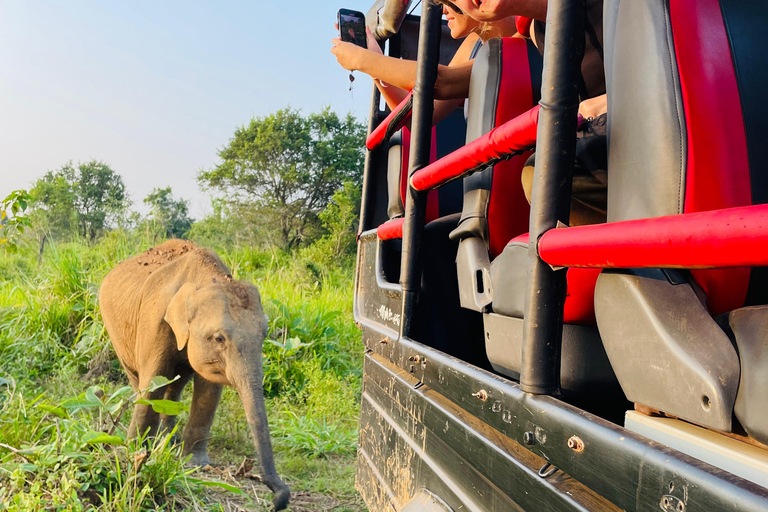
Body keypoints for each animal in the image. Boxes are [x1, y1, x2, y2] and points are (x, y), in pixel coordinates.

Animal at [99, 239, 290, 510]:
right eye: (219, 338)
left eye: (264, 334)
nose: (277, 500)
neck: (207, 277)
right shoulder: (155, 320)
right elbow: (152, 383)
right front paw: (133, 451)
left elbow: (208, 390)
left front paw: (195, 464)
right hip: (115, 332)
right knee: (138, 381)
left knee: (174, 388)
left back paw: (169, 441)